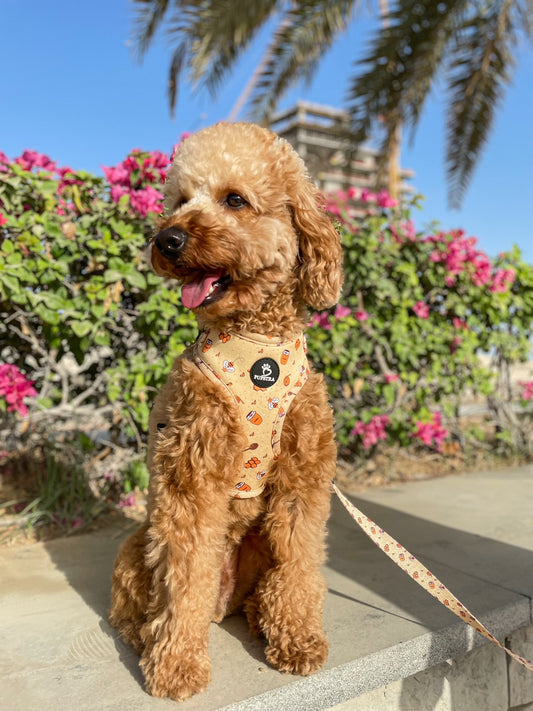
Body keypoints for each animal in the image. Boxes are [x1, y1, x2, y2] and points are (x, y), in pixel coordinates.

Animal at [109, 122, 343, 701]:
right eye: (179, 201)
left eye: (234, 199)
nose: (167, 240)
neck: (256, 345)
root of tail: (225, 606)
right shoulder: (192, 474)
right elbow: (184, 579)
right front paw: (176, 666)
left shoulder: (303, 475)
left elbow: (300, 559)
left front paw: (298, 639)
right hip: (137, 544)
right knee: (143, 601)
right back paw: (146, 637)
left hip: (256, 542)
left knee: (267, 583)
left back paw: (262, 617)